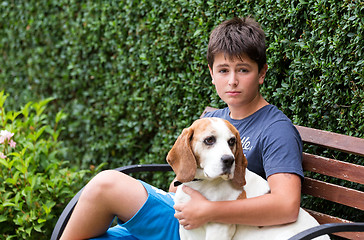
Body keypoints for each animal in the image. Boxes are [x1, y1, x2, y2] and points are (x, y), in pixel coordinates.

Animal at [168, 118, 330, 240]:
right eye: (209, 140)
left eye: (231, 141)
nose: (229, 160)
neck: (200, 184)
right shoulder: (185, 230)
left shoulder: (218, 230)